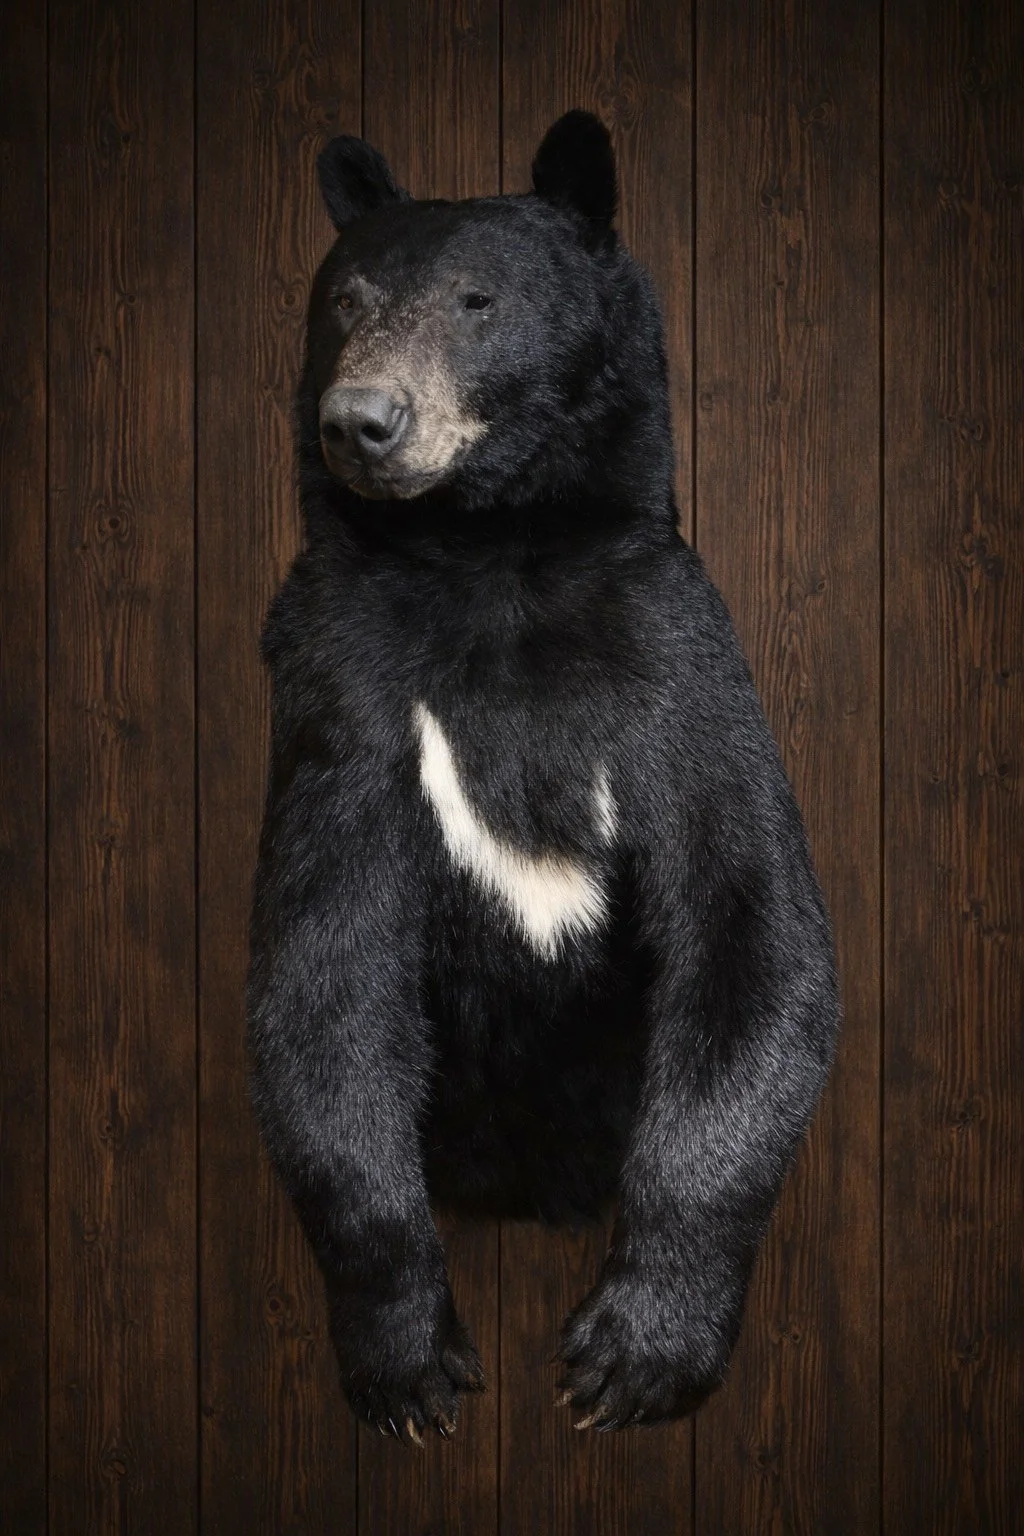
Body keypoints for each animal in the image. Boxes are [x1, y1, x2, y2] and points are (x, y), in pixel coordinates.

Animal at [247, 110, 839, 1444]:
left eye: (477, 299)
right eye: (345, 302)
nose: (361, 420)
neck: (491, 557)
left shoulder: (677, 656)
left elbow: (753, 933)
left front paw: (632, 1358)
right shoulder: (338, 688)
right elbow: (322, 970)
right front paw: (409, 1368)